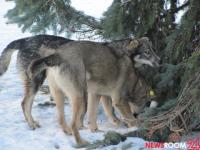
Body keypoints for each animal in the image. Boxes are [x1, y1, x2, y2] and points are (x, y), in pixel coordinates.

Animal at [27, 38, 160, 146]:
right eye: (147, 52)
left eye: (154, 50)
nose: (160, 60)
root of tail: (58, 54)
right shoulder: (118, 100)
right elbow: (128, 118)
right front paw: (136, 127)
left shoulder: (95, 94)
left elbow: (94, 115)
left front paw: (95, 131)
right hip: (79, 97)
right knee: (73, 123)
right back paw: (81, 142)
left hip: (61, 96)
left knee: (61, 119)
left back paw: (69, 132)